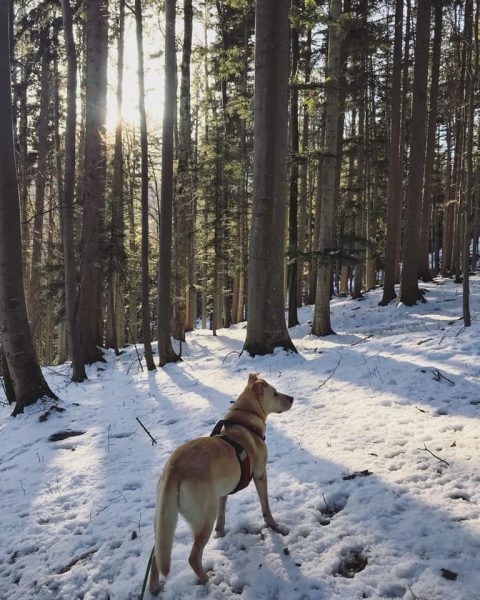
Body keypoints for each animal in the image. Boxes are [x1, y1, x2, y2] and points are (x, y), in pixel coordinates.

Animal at [149, 372, 292, 592]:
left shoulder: (223, 491)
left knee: (156, 556)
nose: (292, 398)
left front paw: (221, 533)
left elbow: (223, 514)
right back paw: (206, 580)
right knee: (193, 558)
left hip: (164, 520)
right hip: (204, 518)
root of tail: (174, 469)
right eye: (275, 393)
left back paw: (155, 587)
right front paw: (274, 525)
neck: (245, 419)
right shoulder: (261, 475)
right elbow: (266, 507)